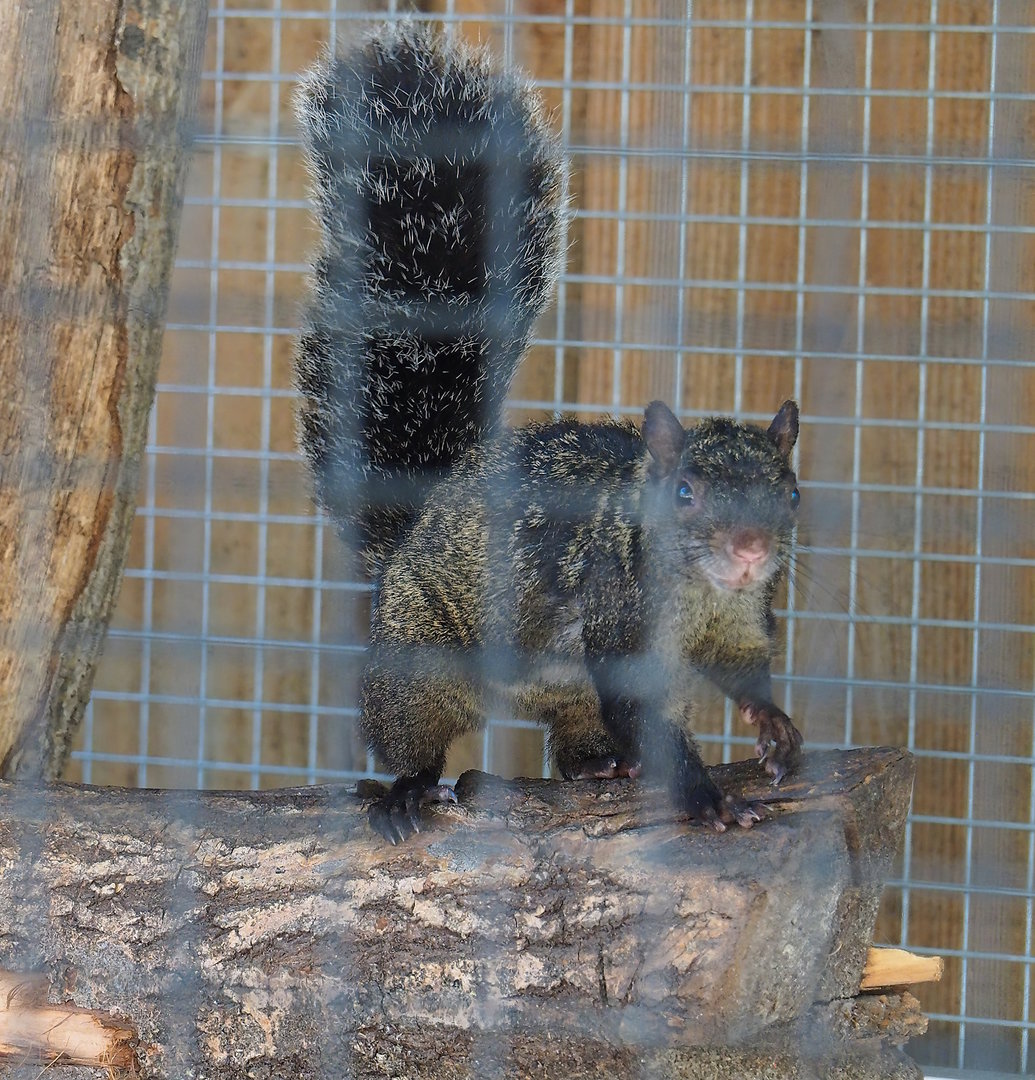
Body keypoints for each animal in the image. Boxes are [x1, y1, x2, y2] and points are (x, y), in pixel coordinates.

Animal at [294, 22, 804, 844]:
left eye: (788, 494)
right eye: (685, 492)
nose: (751, 550)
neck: (701, 596)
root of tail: (409, 534)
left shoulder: (741, 622)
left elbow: (743, 670)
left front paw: (775, 726)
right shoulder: (616, 616)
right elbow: (649, 718)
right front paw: (705, 798)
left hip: (565, 699)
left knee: (573, 741)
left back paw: (600, 764)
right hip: (417, 656)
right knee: (411, 733)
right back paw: (407, 790)